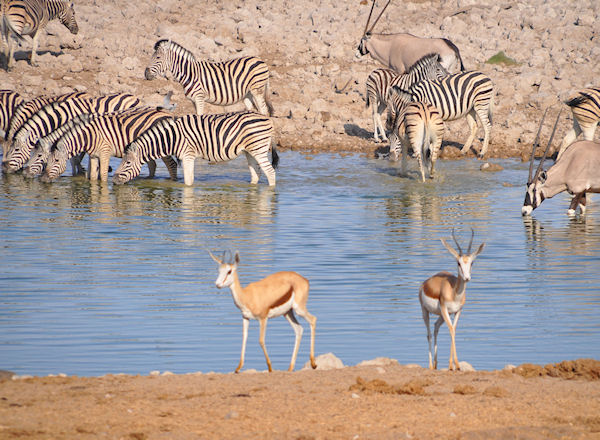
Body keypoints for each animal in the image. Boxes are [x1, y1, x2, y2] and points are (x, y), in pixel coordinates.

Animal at [40, 108, 178, 182]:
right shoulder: (93, 156)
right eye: (47, 160)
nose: (43, 179)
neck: (90, 136)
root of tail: (168, 114)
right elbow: (93, 176)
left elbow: (103, 174)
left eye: (56, 160)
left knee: (172, 164)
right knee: (153, 164)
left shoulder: (105, 153)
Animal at [113, 111, 278, 186]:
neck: (172, 137)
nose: (113, 181)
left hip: (259, 149)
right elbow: (190, 179)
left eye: (127, 163)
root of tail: (267, 118)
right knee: (256, 173)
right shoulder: (187, 156)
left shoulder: (187, 155)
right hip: (249, 151)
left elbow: (188, 181)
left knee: (270, 172)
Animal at [420, 230, 486, 372]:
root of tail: (425, 283)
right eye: (458, 263)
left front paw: (455, 365)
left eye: (471, 263)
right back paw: (430, 365)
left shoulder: (457, 311)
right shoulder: (445, 309)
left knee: (436, 327)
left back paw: (436, 364)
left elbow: (454, 330)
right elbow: (451, 330)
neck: (454, 293)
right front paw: (454, 365)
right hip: (425, 311)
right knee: (429, 333)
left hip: (442, 315)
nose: (467, 278)